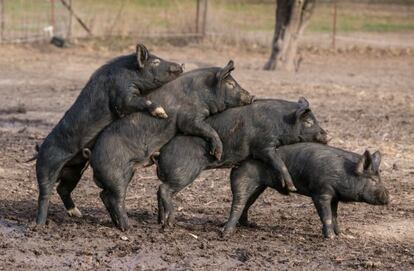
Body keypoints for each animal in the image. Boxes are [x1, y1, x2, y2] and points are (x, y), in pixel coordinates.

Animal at [34, 44, 184, 225]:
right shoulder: (122, 94)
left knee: (62, 188)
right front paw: (162, 113)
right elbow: (133, 102)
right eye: (155, 62)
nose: (181, 65)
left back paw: (77, 214)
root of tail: (39, 150)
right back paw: (40, 224)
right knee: (45, 193)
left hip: (75, 170)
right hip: (46, 165)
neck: (130, 74)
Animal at [89, 60, 254, 232]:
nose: (252, 96)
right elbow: (205, 128)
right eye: (230, 84)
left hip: (126, 173)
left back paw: (120, 223)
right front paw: (217, 153)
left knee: (104, 195)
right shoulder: (188, 117)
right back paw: (130, 227)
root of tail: (92, 158)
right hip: (116, 174)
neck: (201, 92)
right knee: (117, 197)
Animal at [156, 99, 330, 228]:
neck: (281, 122)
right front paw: (291, 187)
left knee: (159, 191)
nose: (328, 135)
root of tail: (160, 155)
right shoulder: (264, 145)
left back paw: (160, 221)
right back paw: (170, 223)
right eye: (308, 122)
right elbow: (278, 162)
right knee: (164, 189)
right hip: (184, 172)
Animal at [225, 143, 390, 239]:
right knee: (238, 203)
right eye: (373, 180)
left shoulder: (334, 197)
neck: (344, 172)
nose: (389, 197)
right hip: (242, 180)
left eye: (380, 178)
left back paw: (251, 225)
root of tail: (238, 162)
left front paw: (341, 234)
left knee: (248, 203)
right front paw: (331, 238)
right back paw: (227, 232)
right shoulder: (321, 192)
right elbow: (326, 215)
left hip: (259, 187)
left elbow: (335, 215)